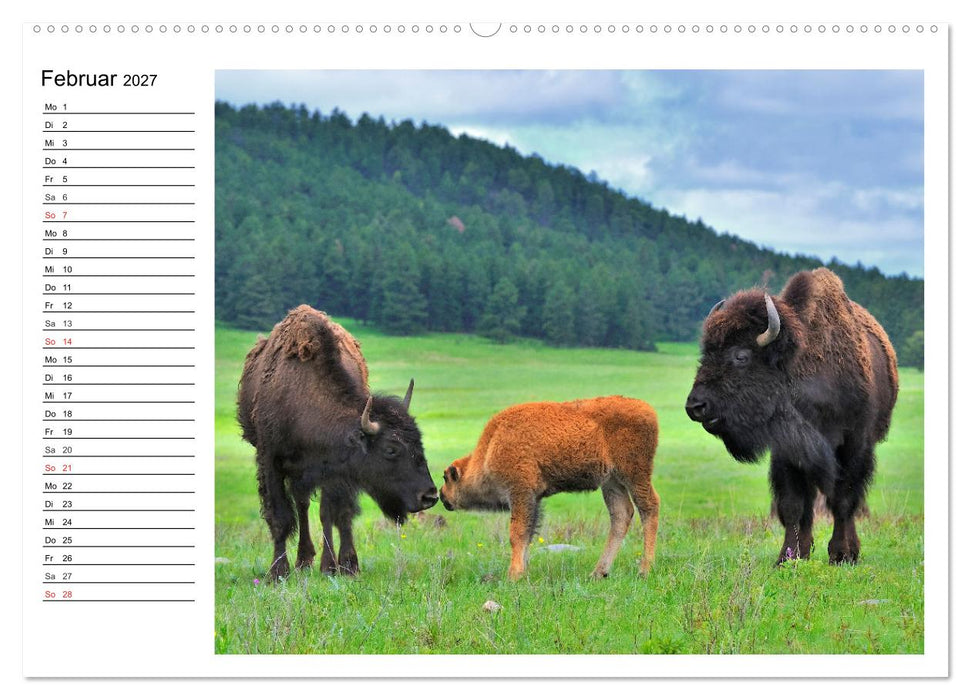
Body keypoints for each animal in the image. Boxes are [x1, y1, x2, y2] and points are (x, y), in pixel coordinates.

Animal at [237, 305, 438, 580]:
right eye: (391, 449)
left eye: (419, 443)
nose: (429, 495)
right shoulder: (270, 461)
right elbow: (279, 517)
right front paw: (277, 572)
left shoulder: (336, 471)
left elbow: (332, 514)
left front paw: (339, 566)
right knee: (301, 506)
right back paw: (303, 561)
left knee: (326, 512)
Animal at [439, 396, 661, 580]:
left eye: (446, 478)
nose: (442, 496)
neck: (490, 448)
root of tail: (648, 410)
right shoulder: (533, 499)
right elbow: (528, 534)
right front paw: (523, 572)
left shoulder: (520, 492)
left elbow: (517, 534)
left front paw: (513, 575)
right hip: (612, 482)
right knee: (621, 515)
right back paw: (599, 572)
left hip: (634, 474)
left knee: (649, 507)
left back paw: (644, 570)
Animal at [685, 268, 898, 565]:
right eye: (706, 354)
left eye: (741, 356)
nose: (696, 406)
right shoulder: (787, 451)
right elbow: (793, 505)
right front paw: (790, 557)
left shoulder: (854, 444)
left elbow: (843, 499)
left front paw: (841, 554)